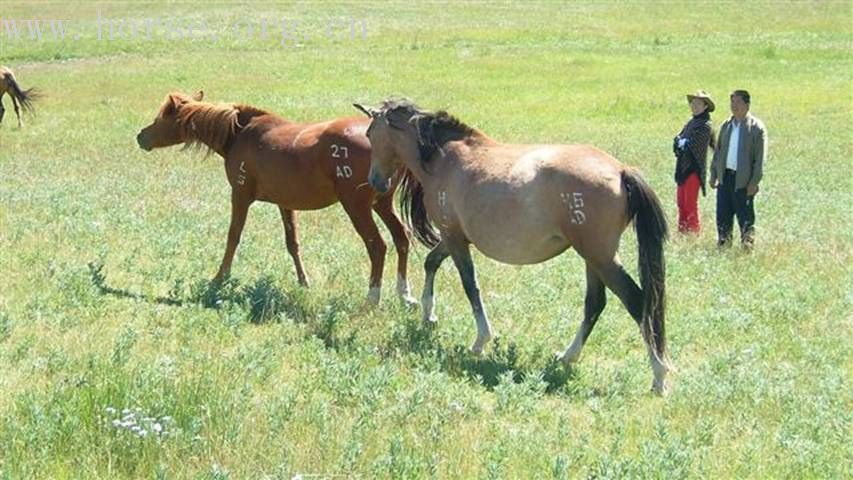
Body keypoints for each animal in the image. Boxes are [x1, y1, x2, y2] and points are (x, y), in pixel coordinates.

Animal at [135, 91, 418, 304]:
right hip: (382, 204)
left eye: (161, 117)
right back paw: (404, 295)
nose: (140, 136)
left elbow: (233, 237)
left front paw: (219, 279)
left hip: (357, 207)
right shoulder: (286, 204)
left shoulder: (240, 195)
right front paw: (304, 283)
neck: (238, 134)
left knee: (377, 246)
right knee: (402, 238)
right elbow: (292, 243)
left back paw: (372, 299)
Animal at [352, 99, 672, 392]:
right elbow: (431, 263)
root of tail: (621, 171)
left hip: (599, 258)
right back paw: (568, 356)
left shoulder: (455, 239)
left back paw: (659, 375)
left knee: (637, 302)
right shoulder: (453, 237)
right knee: (595, 304)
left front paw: (479, 340)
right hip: (592, 259)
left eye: (369, 133)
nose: (375, 181)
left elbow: (470, 285)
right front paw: (428, 315)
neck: (444, 160)